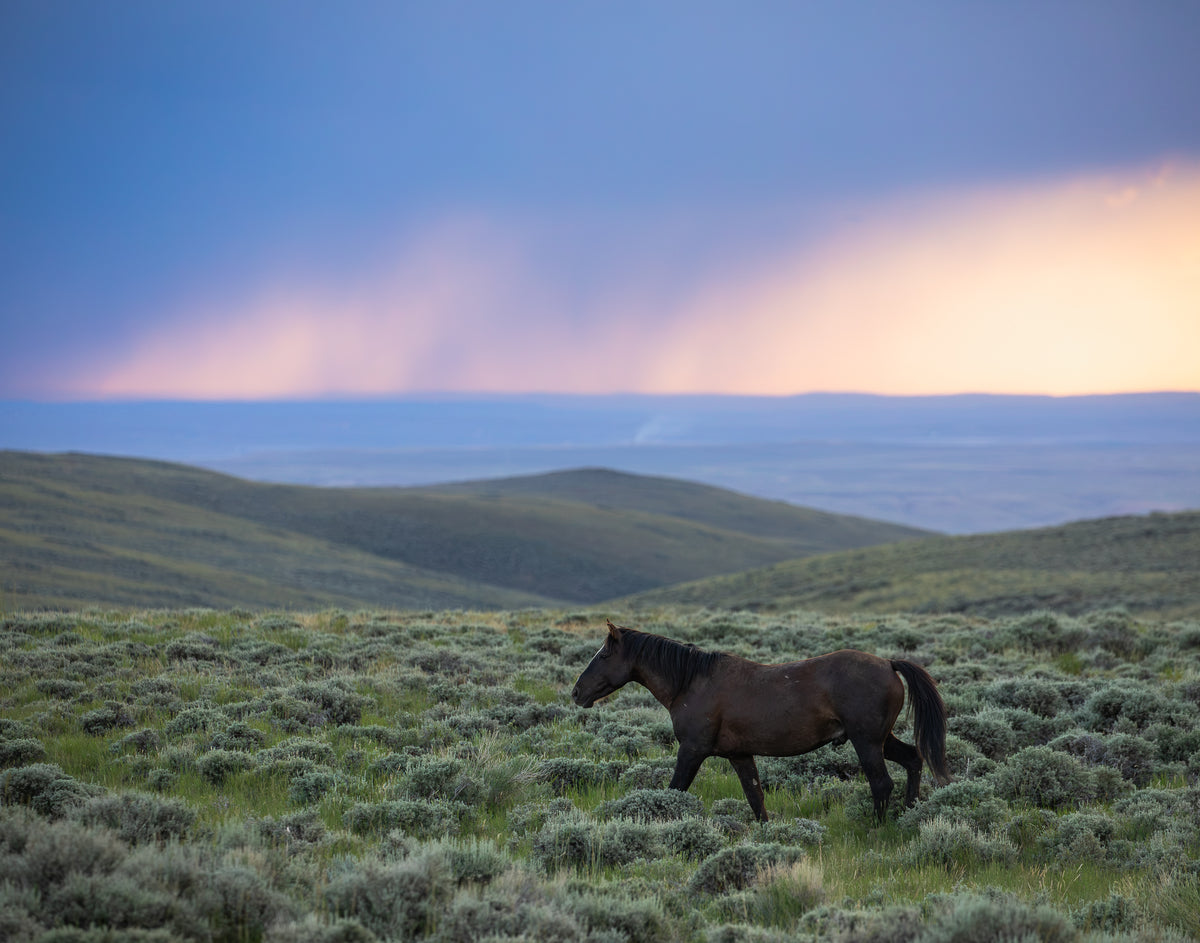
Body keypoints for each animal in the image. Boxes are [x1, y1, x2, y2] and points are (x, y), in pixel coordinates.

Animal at [571, 621, 949, 823]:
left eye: (604, 654)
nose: (577, 693)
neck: (691, 681)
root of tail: (888, 663)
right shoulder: (740, 756)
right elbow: (756, 797)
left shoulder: (692, 751)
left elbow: (675, 790)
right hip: (882, 740)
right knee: (914, 759)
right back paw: (911, 811)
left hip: (866, 742)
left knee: (881, 783)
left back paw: (878, 826)